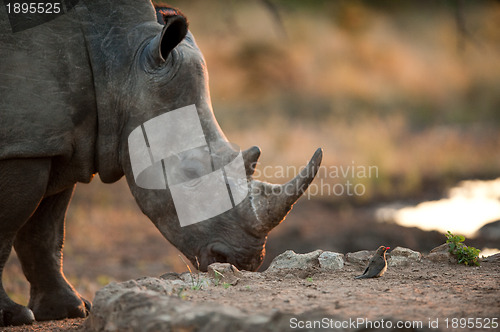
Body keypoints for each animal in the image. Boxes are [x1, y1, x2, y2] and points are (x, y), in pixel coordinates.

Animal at [0, 0, 320, 326]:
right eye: (191, 174)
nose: (245, 261)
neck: (121, 66)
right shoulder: (24, 147)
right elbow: (9, 227)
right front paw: (13, 316)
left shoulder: (56, 144)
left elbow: (45, 232)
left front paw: (71, 310)